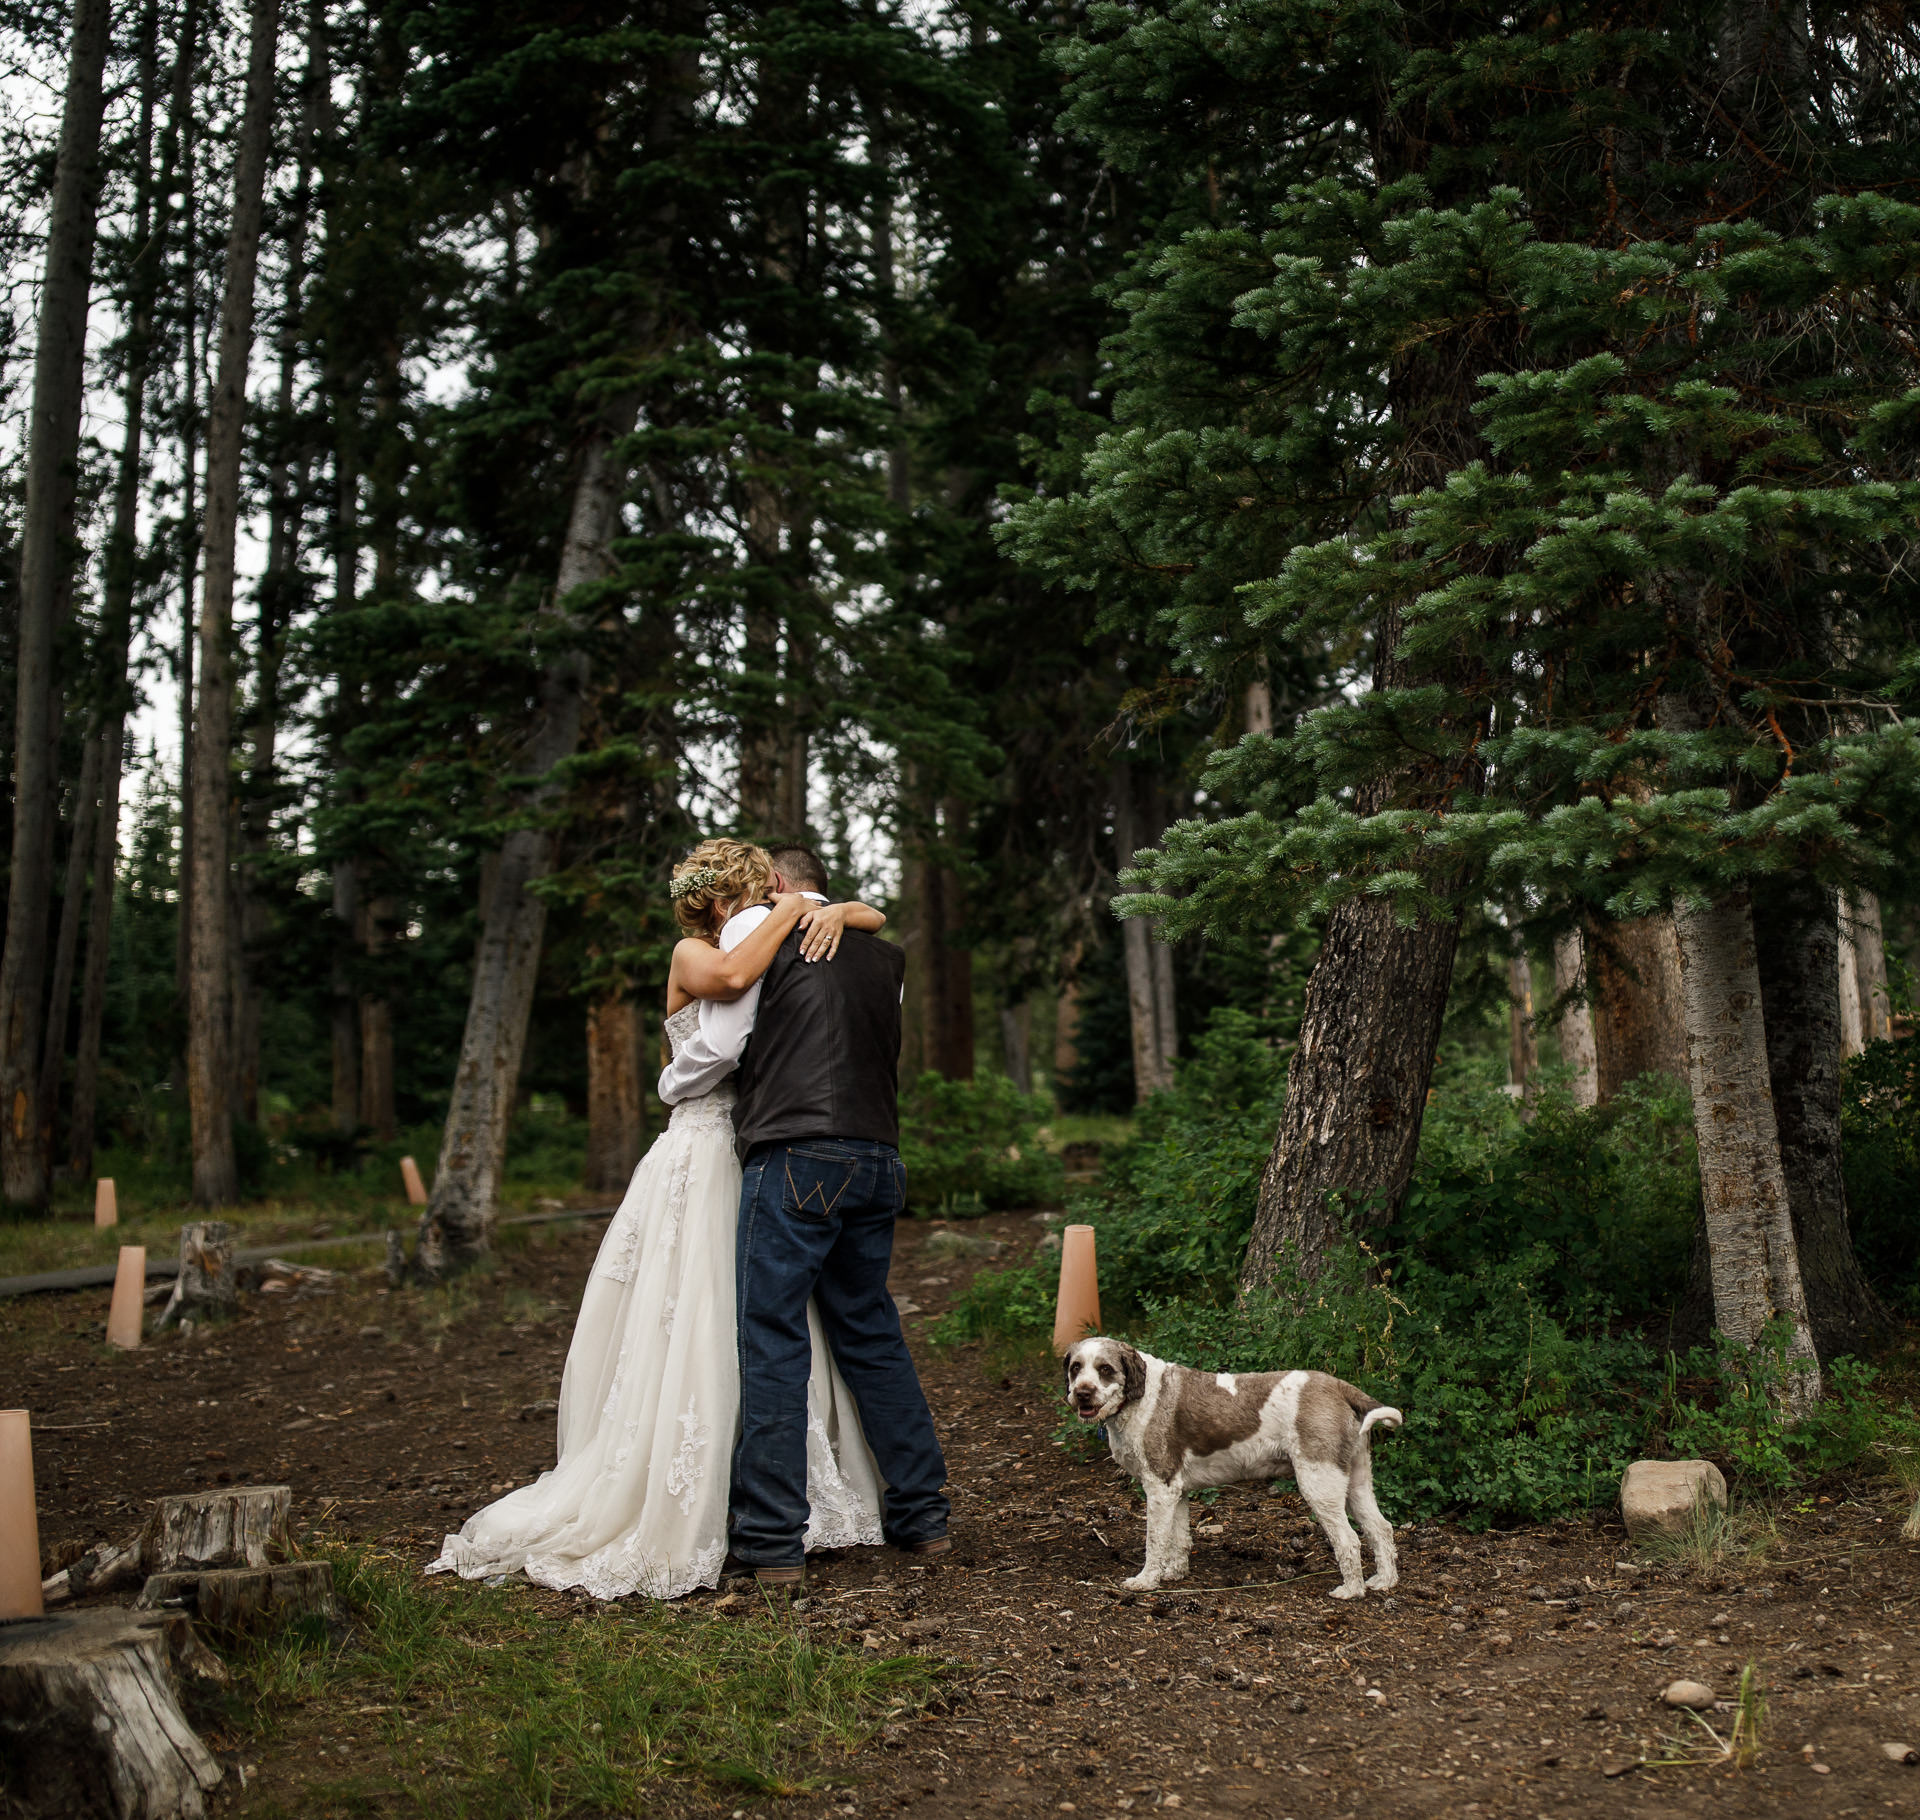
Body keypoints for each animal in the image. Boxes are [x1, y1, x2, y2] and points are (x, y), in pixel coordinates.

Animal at [1059, 1336, 1405, 1589]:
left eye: (1105, 1369)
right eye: (1075, 1367)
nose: (1082, 1393)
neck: (1141, 1395)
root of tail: (1339, 1386)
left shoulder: (1159, 1487)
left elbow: (1155, 1541)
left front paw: (1146, 1581)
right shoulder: (1176, 1492)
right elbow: (1179, 1538)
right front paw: (1175, 1573)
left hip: (1320, 1484)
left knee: (1348, 1539)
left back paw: (1351, 1591)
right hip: (1356, 1481)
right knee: (1381, 1528)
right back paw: (1384, 1581)